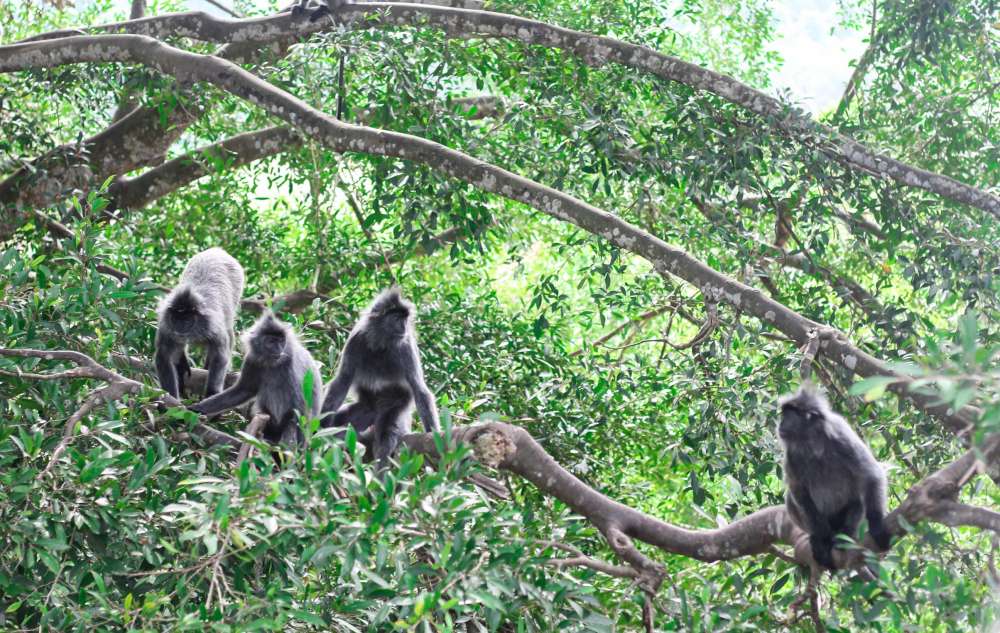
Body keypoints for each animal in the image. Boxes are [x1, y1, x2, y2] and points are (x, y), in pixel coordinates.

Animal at [154, 246, 244, 398]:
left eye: (187, 320)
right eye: (176, 319)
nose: (180, 328)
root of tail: (216, 250)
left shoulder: (213, 326)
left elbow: (220, 355)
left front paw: (212, 393)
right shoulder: (166, 326)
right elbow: (163, 357)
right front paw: (172, 398)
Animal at [189, 312, 322, 444]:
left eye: (281, 341)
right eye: (271, 341)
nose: (278, 349)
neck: (272, 363)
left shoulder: (291, 362)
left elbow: (300, 405)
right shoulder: (252, 360)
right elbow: (244, 390)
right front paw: (196, 408)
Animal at [322, 286, 440, 470]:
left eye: (405, 319)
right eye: (397, 318)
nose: (404, 327)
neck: (381, 345)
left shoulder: (405, 346)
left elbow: (419, 389)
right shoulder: (356, 341)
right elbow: (342, 380)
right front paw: (319, 428)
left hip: (395, 409)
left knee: (386, 436)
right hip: (366, 409)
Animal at [776, 382, 896, 572]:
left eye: (787, 416)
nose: (779, 424)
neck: (813, 443)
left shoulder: (841, 436)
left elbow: (871, 475)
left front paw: (876, 524)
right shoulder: (791, 455)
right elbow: (798, 491)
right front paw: (822, 537)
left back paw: (844, 535)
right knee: (792, 498)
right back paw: (819, 537)